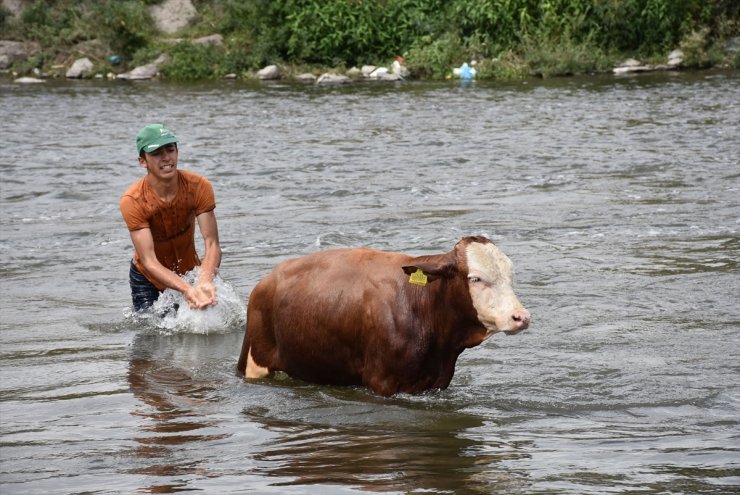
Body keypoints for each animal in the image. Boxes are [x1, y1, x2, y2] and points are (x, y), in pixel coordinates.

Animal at [234, 235, 528, 396]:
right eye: (475, 278)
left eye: (511, 277)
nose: (521, 317)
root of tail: (266, 281)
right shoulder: (382, 381)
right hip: (255, 361)